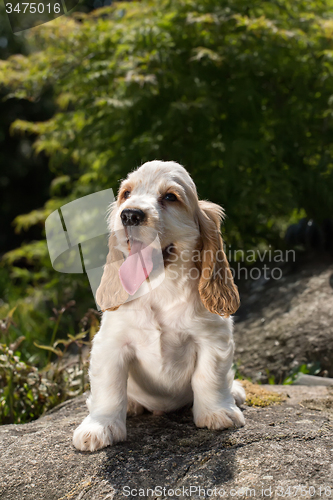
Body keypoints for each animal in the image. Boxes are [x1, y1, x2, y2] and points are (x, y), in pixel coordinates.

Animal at [72, 161, 244, 454]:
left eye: (170, 197)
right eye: (126, 194)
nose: (130, 215)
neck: (159, 289)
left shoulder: (213, 339)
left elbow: (209, 377)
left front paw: (217, 413)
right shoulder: (110, 344)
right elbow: (108, 389)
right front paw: (99, 427)